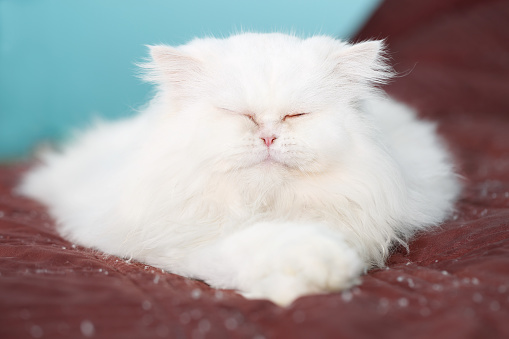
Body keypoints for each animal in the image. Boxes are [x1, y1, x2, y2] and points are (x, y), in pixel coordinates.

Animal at [19, 33, 458, 306]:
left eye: (296, 115)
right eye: (239, 115)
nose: (268, 136)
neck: (260, 206)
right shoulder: (174, 244)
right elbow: (249, 250)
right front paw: (304, 273)